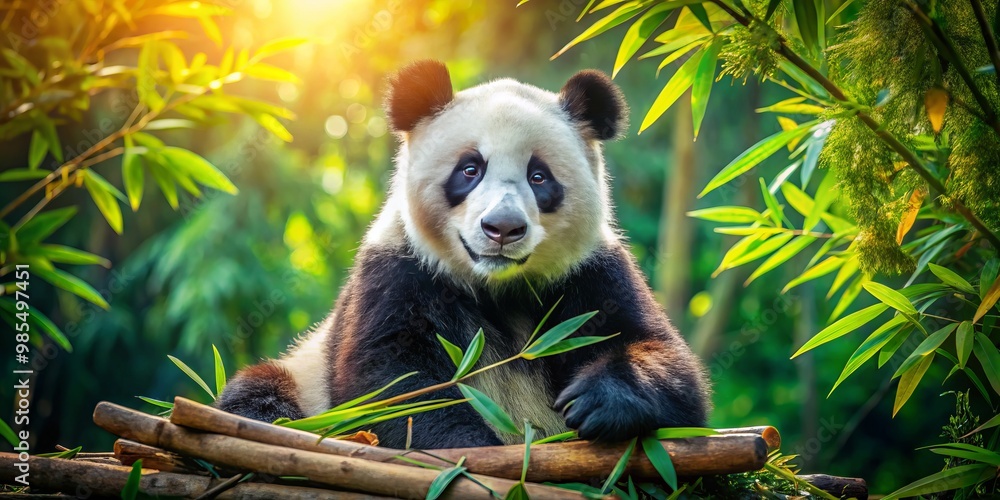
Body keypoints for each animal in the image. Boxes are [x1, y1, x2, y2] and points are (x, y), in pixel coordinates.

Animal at [218, 60, 710, 449]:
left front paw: (594, 403)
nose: (503, 228)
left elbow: (665, 363)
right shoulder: (398, 272)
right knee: (258, 398)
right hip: (303, 376)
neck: (497, 286)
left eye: (538, 177)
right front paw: (471, 450)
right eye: (470, 169)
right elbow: (396, 387)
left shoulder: (590, 273)